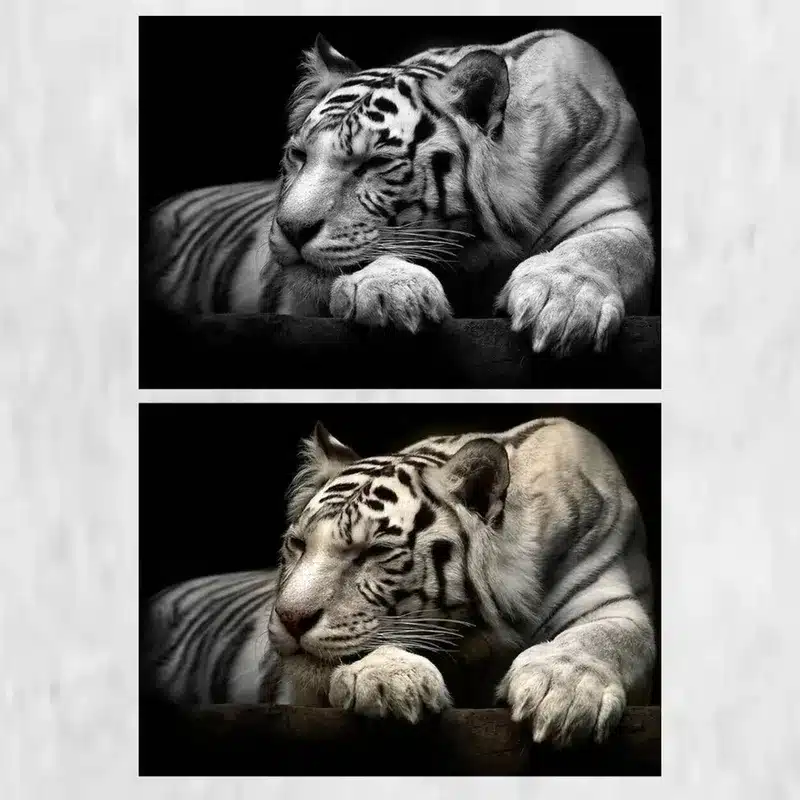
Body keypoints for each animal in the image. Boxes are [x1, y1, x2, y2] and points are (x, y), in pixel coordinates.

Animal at [144, 29, 654, 356]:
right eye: (299, 155)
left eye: (373, 164)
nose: (290, 229)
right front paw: (390, 291)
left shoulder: (613, 212)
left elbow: (606, 249)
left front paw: (562, 301)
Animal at [144, 417, 656, 746]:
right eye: (298, 545)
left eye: (373, 553)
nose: (289, 619)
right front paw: (389, 680)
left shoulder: (614, 599)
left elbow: (604, 638)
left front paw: (563, 691)